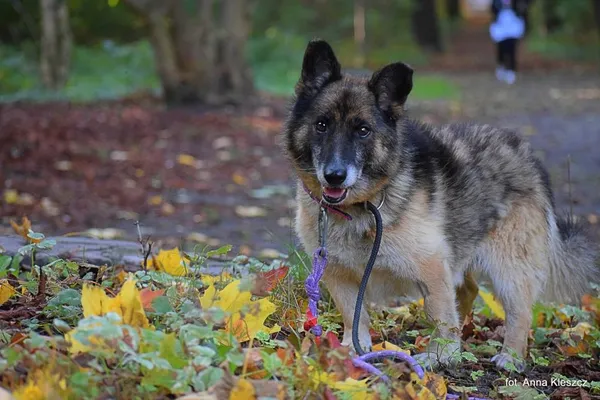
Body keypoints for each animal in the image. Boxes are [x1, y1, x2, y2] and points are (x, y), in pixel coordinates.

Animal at [282, 39, 600, 370]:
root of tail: (526, 153)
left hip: (509, 268)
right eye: (321, 125)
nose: (334, 175)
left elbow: (439, 315)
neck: (364, 205)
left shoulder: (432, 268)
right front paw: (350, 350)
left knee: (519, 313)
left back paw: (510, 356)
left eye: (363, 130)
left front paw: (441, 355)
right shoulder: (338, 274)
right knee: (469, 290)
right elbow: (352, 315)